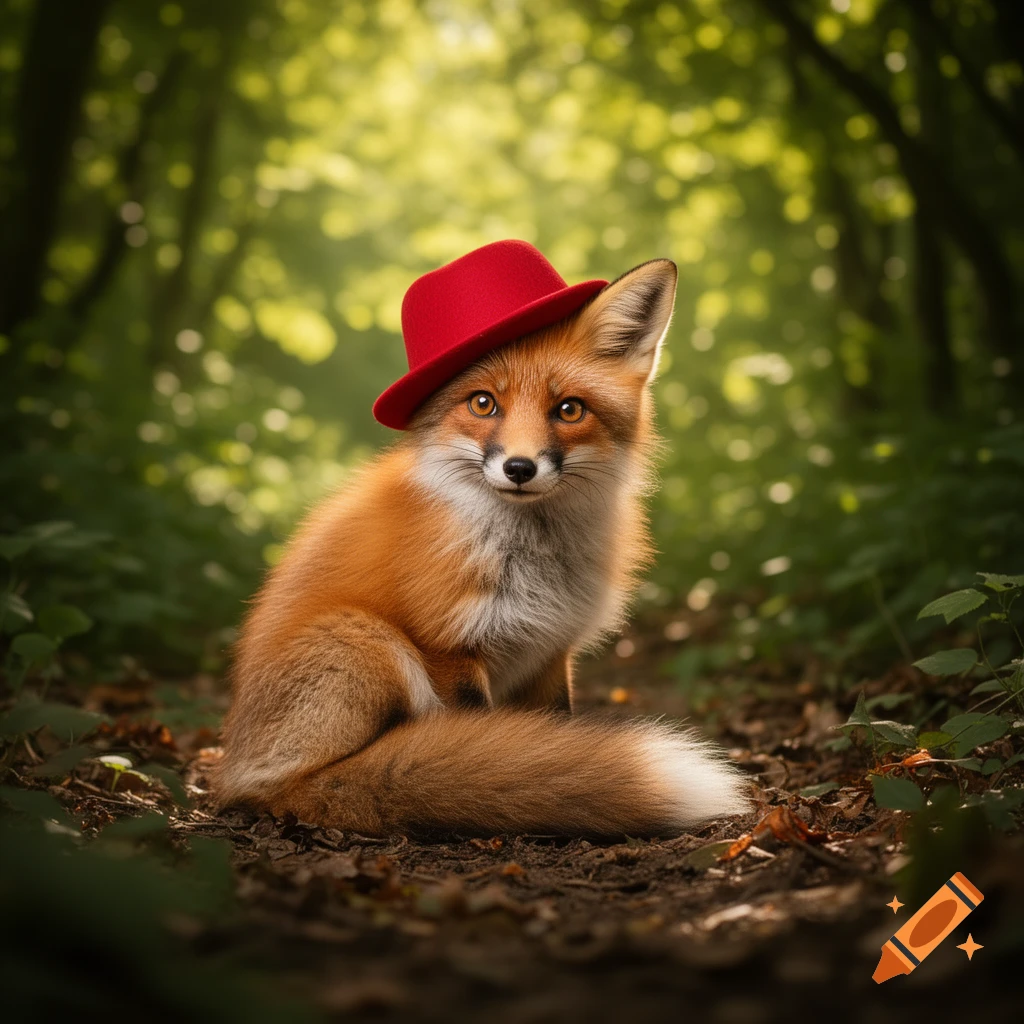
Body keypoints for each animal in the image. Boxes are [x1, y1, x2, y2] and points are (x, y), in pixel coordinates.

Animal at [216, 255, 752, 836]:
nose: (520, 467)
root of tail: (234, 775)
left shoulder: (550, 647)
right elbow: (485, 734)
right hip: (363, 642)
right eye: (483, 403)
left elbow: (549, 736)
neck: (535, 562)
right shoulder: (448, 645)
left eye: (569, 409)